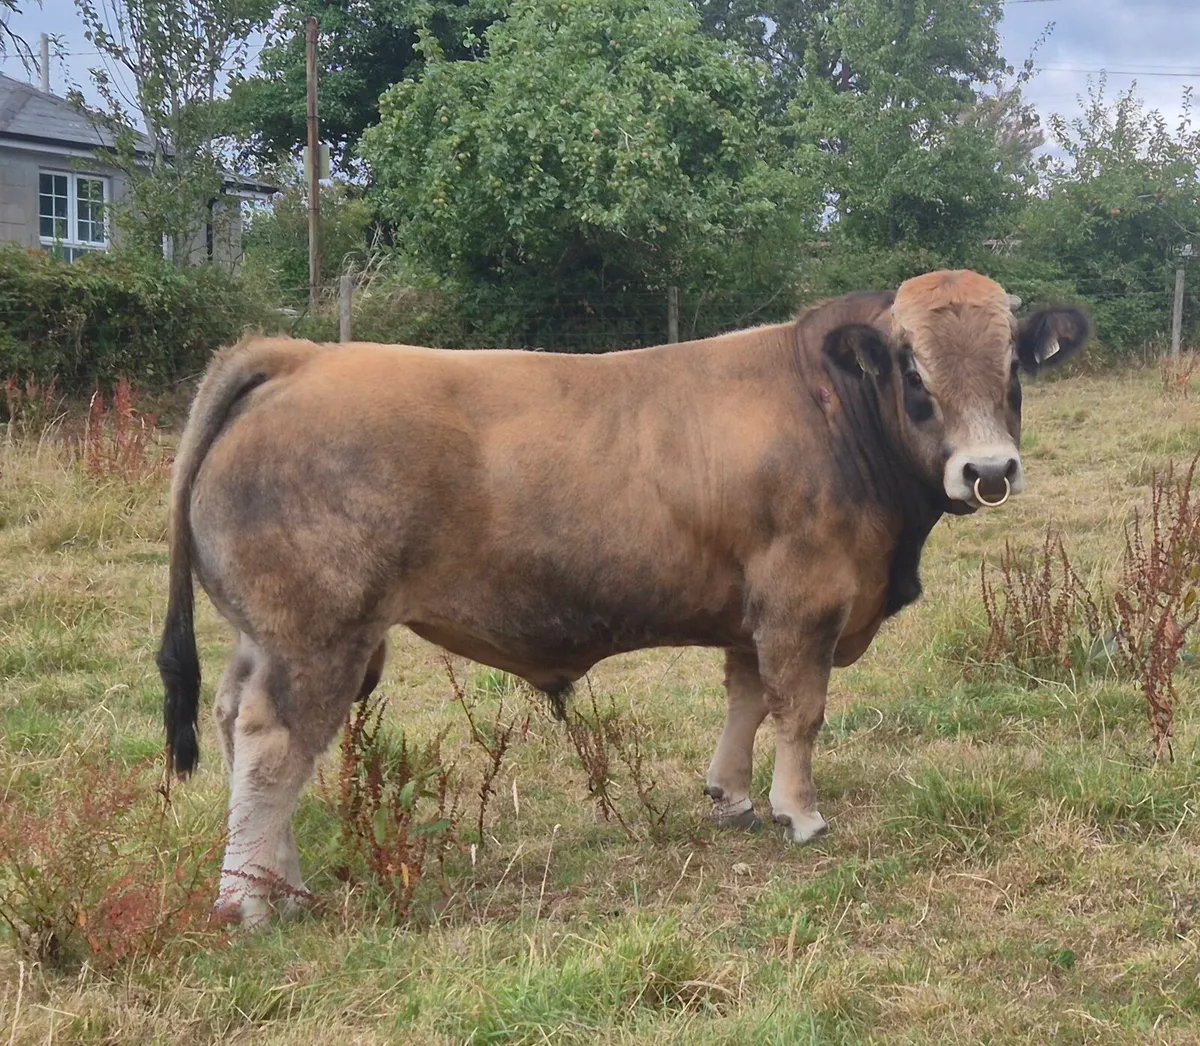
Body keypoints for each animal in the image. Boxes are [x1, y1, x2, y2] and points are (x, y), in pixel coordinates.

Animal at [157, 269, 1090, 925]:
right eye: (914, 372)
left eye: (1013, 365)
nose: (989, 470)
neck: (834, 412)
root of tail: (303, 354)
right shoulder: (802, 604)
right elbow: (799, 710)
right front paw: (800, 811)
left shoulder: (748, 615)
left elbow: (746, 700)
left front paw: (732, 796)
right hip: (320, 638)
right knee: (273, 744)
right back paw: (251, 901)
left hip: (266, 637)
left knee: (237, 722)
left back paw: (284, 882)